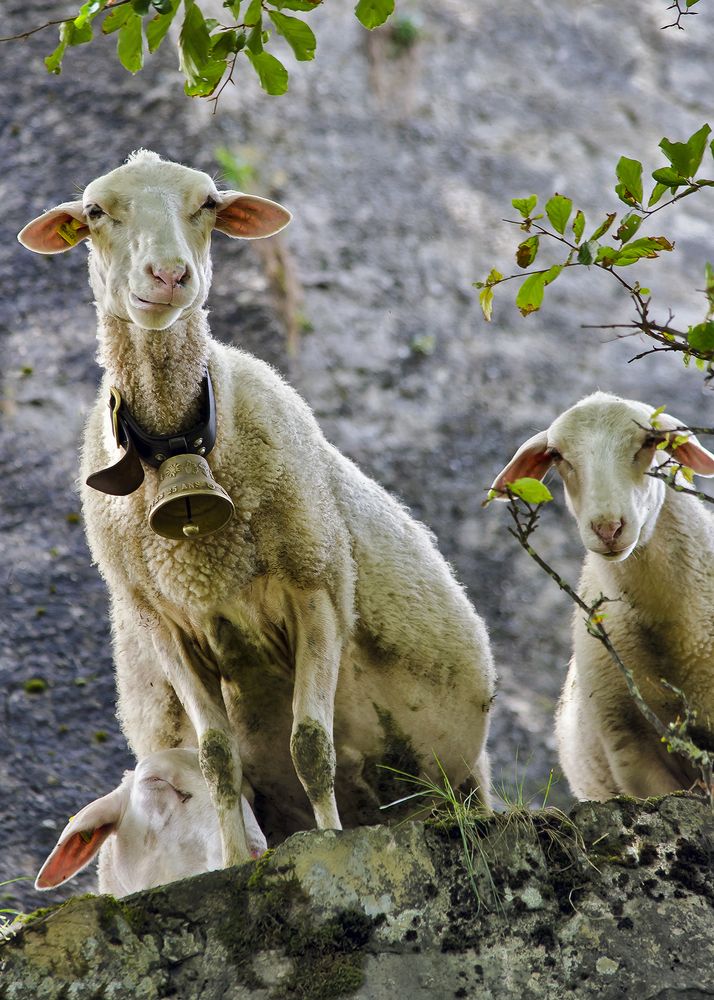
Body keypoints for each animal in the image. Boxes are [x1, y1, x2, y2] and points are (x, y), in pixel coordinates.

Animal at [18, 150, 496, 864]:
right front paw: (237, 857)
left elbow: (313, 745)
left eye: (208, 204)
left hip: (465, 775)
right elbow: (218, 758)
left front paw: (329, 840)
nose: (169, 275)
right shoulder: (164, 623)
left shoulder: (317, 589)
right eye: (96, 212)